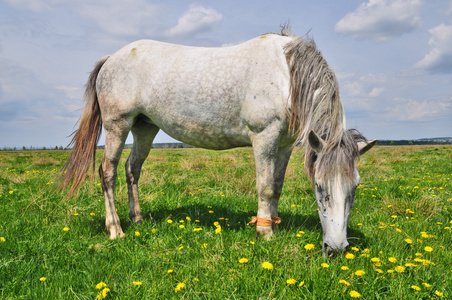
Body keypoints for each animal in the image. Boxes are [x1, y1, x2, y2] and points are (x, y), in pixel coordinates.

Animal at [61, 31, 378, 253]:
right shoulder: (264, 137)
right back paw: (116, 229)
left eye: (356, 187)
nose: (336, 249)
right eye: (320, 186)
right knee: (108, 172)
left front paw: (274, 226)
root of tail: (112, 58)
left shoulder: (284, 145)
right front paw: (264, 233)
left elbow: (276, 187)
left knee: (132, 169)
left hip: (144, 128)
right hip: (118, 124)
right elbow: (265, 187)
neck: (286, 76)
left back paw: (137, 219)